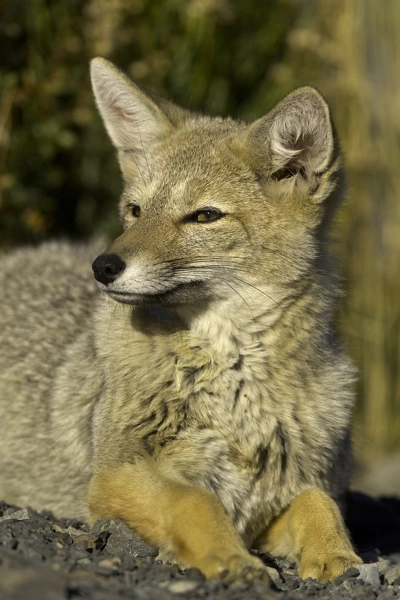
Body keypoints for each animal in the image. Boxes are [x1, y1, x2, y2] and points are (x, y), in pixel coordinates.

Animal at [0, 58, 362, 584]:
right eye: (135, 211)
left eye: (204, 216)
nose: (103, 266)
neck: (237, 394)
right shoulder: (115, 475)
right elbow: (195, 501)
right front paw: (233, 560)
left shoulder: (271, 500)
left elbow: (318, 501)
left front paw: (336, 556)